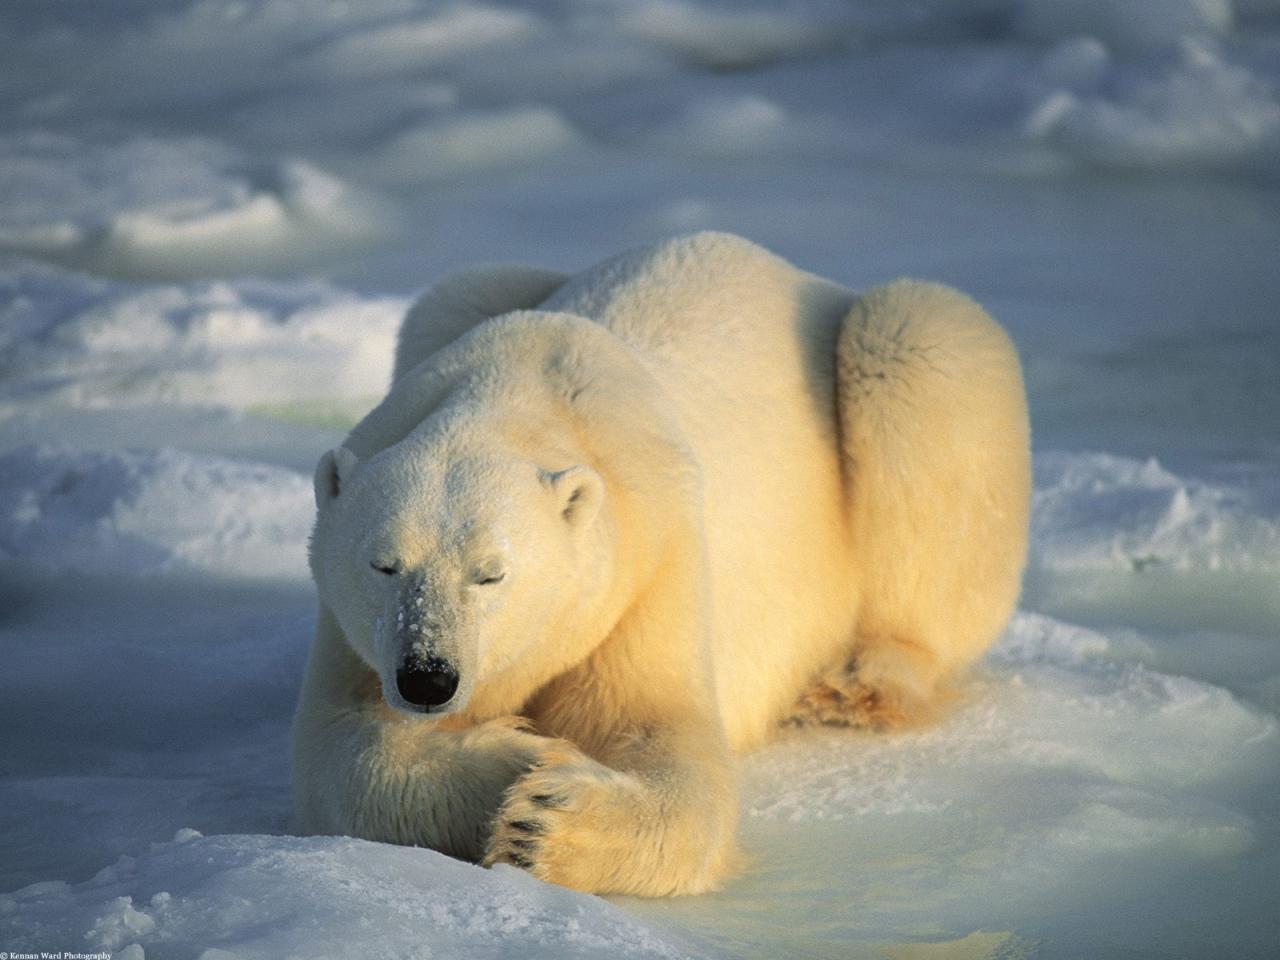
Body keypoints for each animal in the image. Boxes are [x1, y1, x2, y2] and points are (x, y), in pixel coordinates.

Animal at [290, 232, 1029, 901]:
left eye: (491, 572)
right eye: (384, 565)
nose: (427, 677)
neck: (525, 392)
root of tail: (798, 272)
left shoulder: (650, 560)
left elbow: (666, 740)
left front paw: (543, 819)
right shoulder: (355, 629)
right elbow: (340, 750)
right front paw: (519, 757)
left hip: (900, 364)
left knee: (920, 349)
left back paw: (860, 686)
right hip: (461, 299)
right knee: (455, 289)